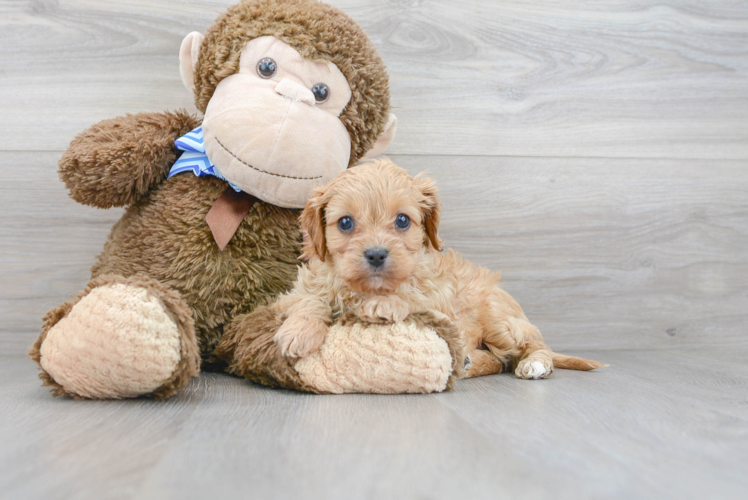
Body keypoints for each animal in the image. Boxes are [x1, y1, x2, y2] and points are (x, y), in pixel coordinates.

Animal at [272, 160, 604, 378]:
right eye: (345, 222)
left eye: (402, 220)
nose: (377, 254)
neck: (367, 288)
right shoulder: (301, 289)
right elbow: (310, 300)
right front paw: (299, 331)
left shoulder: (443, 303)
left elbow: (414, 296)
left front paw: (385, 303)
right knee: (498, 360)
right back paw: (471, 363)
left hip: (500, 321)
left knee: (533, 344)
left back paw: (535, 364)